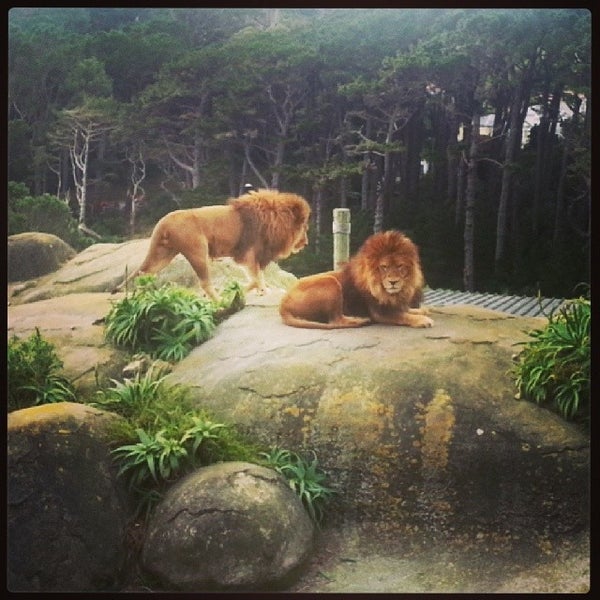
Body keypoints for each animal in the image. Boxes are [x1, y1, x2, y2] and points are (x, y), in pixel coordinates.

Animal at [111, 189, 314, 300]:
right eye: (304, 227)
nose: (306, 243)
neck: (274, 219)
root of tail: (164, 222)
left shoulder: (255, 257)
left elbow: (258, 278)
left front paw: (258, 291)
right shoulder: (249, 254)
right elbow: (256, 278)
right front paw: (247, 291)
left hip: (163, 253)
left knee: (144, 273)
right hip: (198, 251)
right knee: (205, 283)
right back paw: (220, 301)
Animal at [278, 230, 434, 330]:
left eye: (400, 266)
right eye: (384, 267)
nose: (393, 282)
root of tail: (283, 304)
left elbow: (406, 310)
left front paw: (420, 311)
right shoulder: (380, 313)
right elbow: (403, 316)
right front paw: (422, 320)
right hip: (330, 282)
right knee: (335, 321)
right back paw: (360, 320)